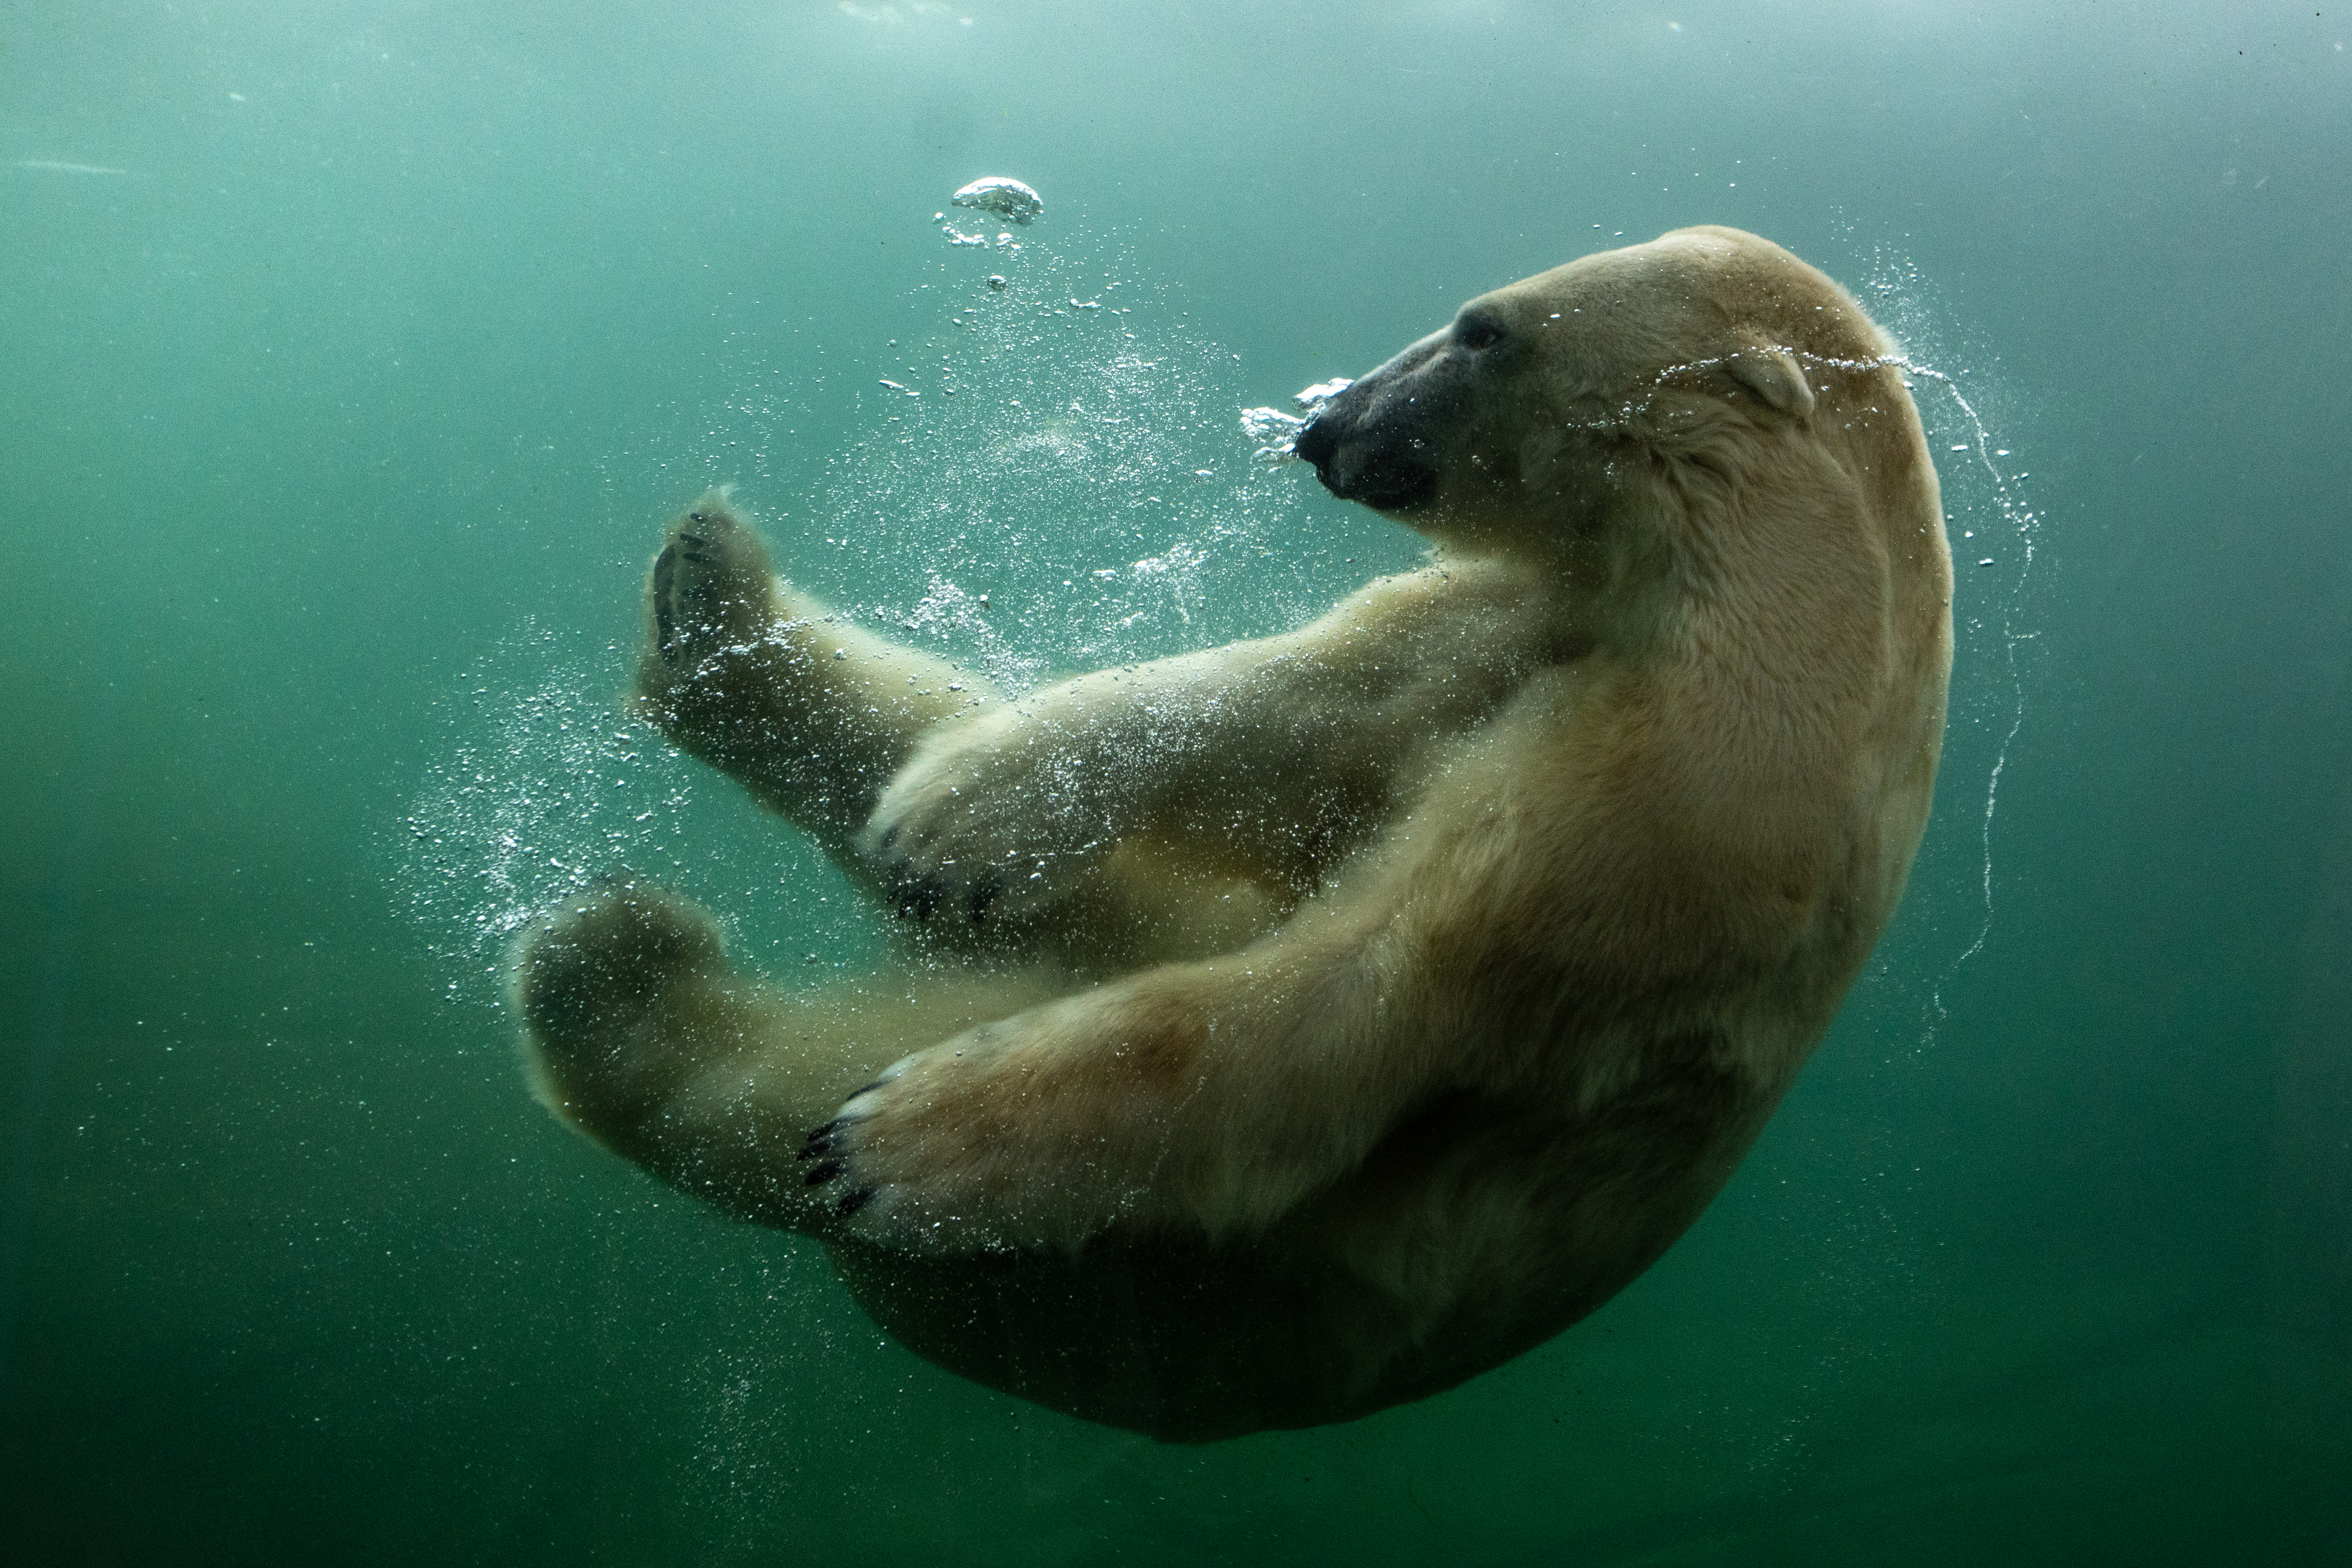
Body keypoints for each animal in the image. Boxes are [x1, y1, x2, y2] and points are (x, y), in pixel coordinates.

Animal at [515, 226, 1947, 1438]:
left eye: (1482, 330)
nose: (1324, 427)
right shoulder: (1535, 627)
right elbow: (1300, 709)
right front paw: (956, 811)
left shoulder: (1665, 825)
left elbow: (1335, 1011)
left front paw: (892, 1144)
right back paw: (713, 613)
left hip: (1086, 1289)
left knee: (765, 1097)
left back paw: (617, 965)